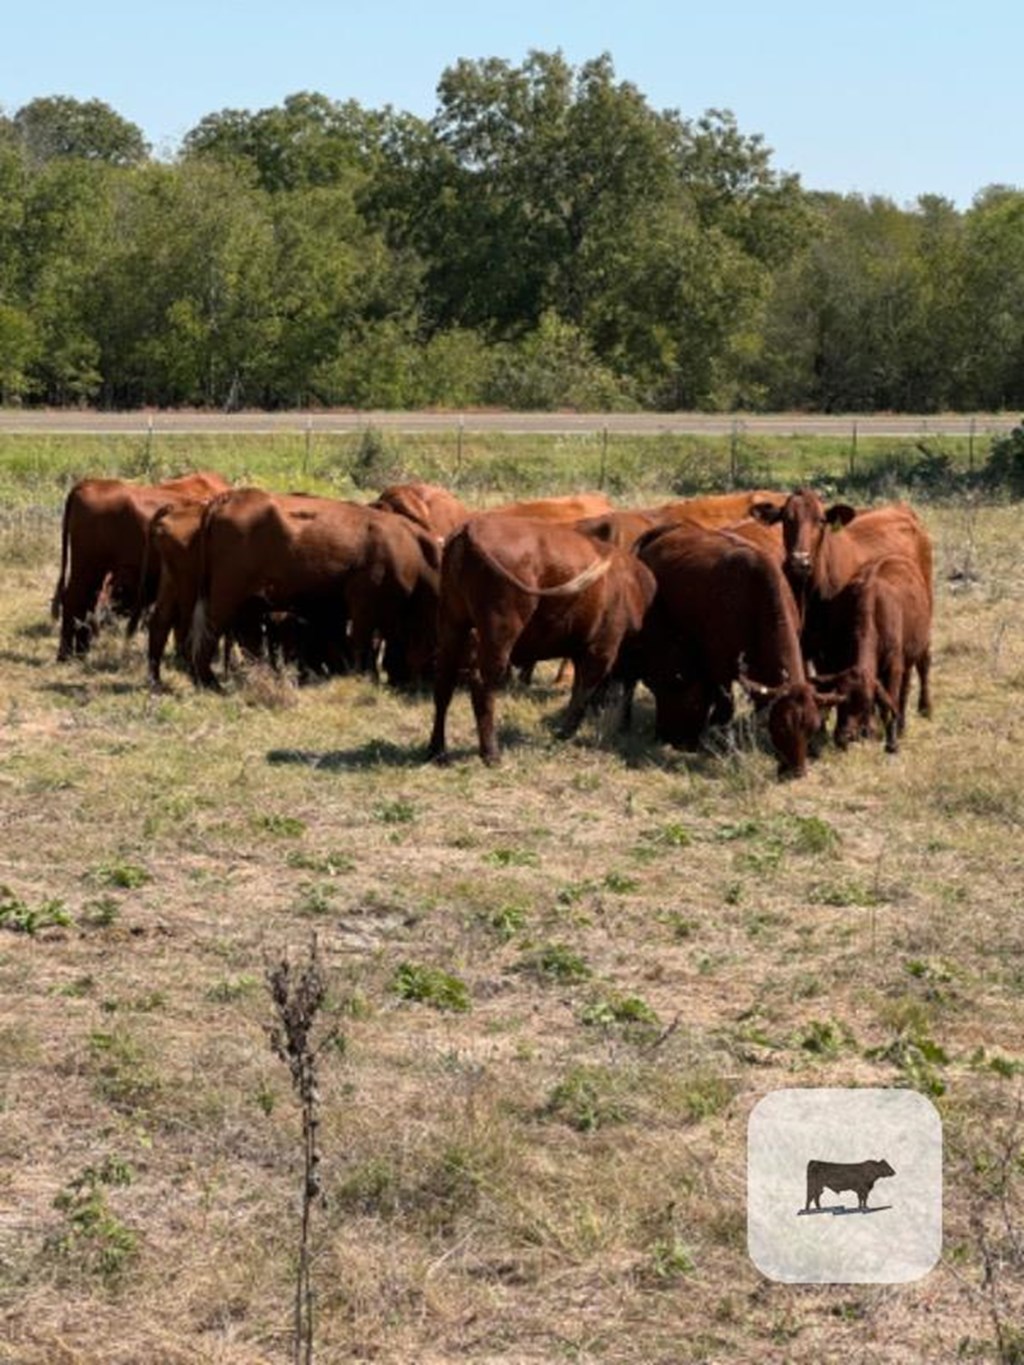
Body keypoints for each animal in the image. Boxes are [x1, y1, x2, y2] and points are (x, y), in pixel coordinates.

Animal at [51, 471, 229, 660]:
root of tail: (89, 484)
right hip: (87, 568)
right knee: (74, 600)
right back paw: (65, 654)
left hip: (96, 572)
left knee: (87, 603)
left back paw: (80, 652)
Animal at [190, 489, 440, 689]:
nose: (422, 685)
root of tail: (229, 497)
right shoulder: (363, 605)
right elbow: (361, 644)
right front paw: (363, 677)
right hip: (224, 599)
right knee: (209, 635)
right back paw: (209, 683)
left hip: (248, 604)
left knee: (249, 641)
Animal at [427, 515, 656, 766]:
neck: (631, 585)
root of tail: (472, 526)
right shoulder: (602, 649)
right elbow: (584, 692)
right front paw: (564, 733)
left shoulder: (581, 651)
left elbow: (578, 690)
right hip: (500, 632)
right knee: (482, 685)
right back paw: (491, 753)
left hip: (452, 623)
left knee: (443, 683)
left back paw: (437, 750)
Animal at [807, 553, 932, 753]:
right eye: (841, 700)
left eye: (865, 702)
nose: (844, 736)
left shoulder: (893, 667)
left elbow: (888, 703)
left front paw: (891, 742)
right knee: (905, 688)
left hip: (922, 644)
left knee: (921, 670)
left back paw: (923, 710)